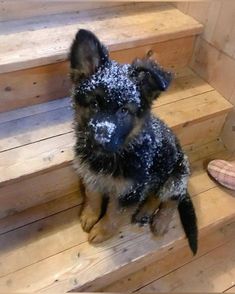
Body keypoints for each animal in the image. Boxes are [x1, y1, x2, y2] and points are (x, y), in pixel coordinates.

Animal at [69, 30, 197, 255]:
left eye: (124, 111)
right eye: (94, 103)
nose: (99, 141)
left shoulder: (129, 191)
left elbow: (113, 213)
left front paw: (102, 231)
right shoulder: (91, 174)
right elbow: (92, 195)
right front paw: (90, 215)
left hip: (176, 175)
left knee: (171, 199)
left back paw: (161, 221)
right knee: (154, 195)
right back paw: (145, 211)